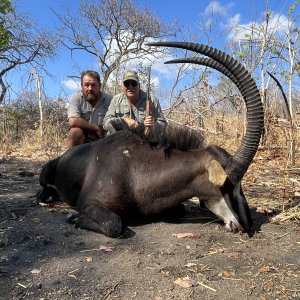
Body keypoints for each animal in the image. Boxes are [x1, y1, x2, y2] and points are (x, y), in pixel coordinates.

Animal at [37, 42, 262, 238]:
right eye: (228, 185)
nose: (247, 226)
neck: (135, 170)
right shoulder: (89, 203)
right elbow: (114, 224)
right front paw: (72, 216)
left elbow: (178, 210)